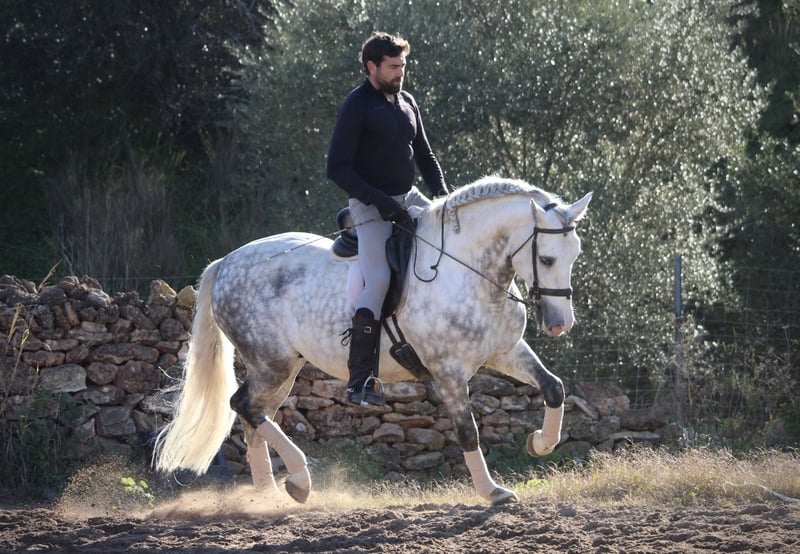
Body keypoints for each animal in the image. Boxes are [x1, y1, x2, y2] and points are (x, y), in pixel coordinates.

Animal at [154, 176, 593, 506]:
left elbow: (554, 387)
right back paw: (299, 479)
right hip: (271, 363)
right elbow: (468, 430)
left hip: (284, 368)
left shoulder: (505, 352)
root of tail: (226, 262)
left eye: (576, 254)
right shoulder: (448, 371)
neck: (468, 272)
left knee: (254, 414)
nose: (560, 325)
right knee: (244, 406)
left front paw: (540, 443)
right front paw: (493, 492)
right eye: (547, 259)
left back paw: (272, 494)